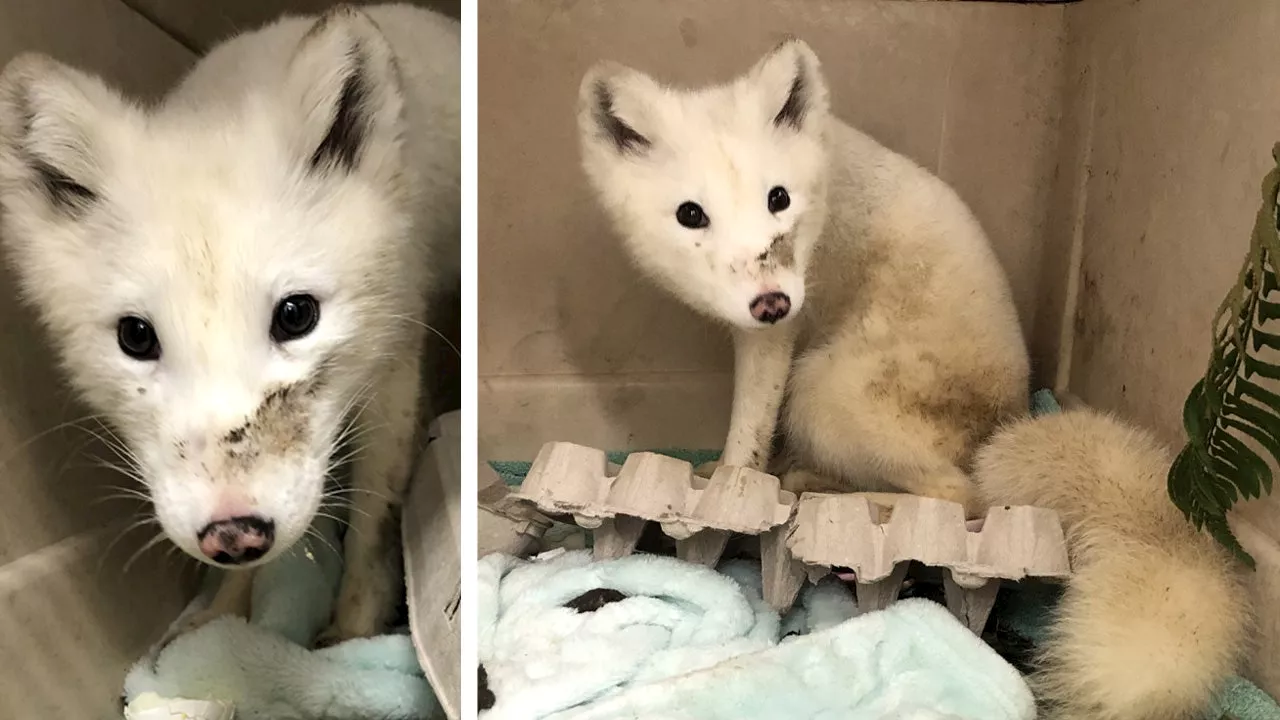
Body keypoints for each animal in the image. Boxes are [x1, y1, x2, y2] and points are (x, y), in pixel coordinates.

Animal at [0, 2, 460, 640]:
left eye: (296, 315)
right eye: (135, 336)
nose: (234, 534)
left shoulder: (396, 362)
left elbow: (372, 524)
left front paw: (353, 633)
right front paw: (225, 614)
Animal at [581, 40, 1029, 509]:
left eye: (779, 198)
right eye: (690, 214)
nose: (772, 303)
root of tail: (1009, 414)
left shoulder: (773, 338)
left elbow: (746, 437)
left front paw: (727, 488)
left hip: (819, 393)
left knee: (962, 496)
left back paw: (823, 489)